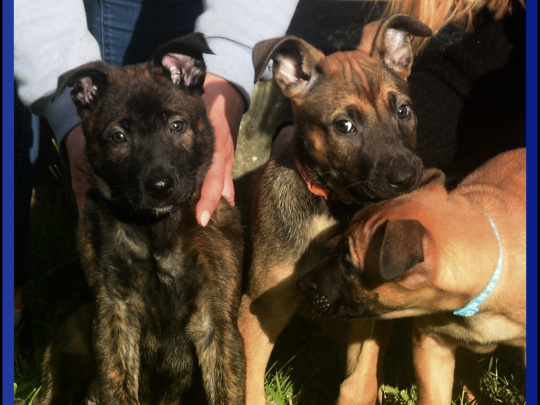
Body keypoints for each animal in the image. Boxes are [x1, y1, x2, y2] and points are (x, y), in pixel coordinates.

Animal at [33, 32, 245, 404]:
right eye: (119, 137)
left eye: (176, 125)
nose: (159, 187)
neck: (154, 230)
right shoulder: (114, 311)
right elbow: (117, 384)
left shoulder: (216, 319)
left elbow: (226, 389)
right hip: (72, 339)